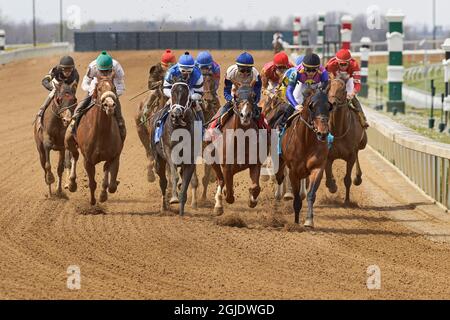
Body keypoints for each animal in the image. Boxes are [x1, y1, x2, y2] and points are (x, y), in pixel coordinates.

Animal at [64, 75, 123, 205]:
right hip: (69, 141)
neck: (101, 133)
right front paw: (92, 201)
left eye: (114, 88)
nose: (109, 105)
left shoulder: (114, 157)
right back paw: (71, 183)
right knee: (74, 156)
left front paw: (103, 195)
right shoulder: (88, 161)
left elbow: (111, 185)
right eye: (99, 88)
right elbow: (92, 183)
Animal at [150, 82, 198, 215]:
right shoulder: (169, 152)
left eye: (186, 94)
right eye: (172, 92)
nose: (176, 115)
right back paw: (164, 207)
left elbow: (186, 182)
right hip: (158, 160)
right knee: (163, 181)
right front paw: (174, 199)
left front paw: (181, 212)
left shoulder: (190, 159)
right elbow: (174, 176)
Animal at [210, 86, 268, 214]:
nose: (245, 115)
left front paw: (252, 200)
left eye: (253, 96)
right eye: (236, 96)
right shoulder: (226, 166)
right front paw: (226, 195)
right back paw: (218, 205)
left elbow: (255, 187)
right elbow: (229, 193)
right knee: (221, 179)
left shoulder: (255, 162)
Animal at [274, 89, 330, 226]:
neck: (306, 141)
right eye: (312, 106)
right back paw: (278, 196)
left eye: (329, 106)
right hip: (280, 160)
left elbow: (311, 195)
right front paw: (295, 222)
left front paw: (309, 220)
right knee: (279, 176)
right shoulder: (293, 171)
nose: (323, 133)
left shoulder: (317, 168)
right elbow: (297, 198)